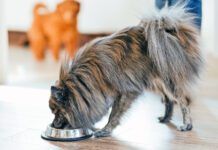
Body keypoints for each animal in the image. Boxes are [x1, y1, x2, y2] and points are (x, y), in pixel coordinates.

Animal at [48, 5, 202, 138]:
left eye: (57, 112)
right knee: (168, 99)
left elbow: (114, 114)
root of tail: (170, 32)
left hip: (167, 80)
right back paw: (165, 118)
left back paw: (187, 124)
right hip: (155, 80)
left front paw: (105, 130)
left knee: (182, 100)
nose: (53, 124)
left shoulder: (126, 92)